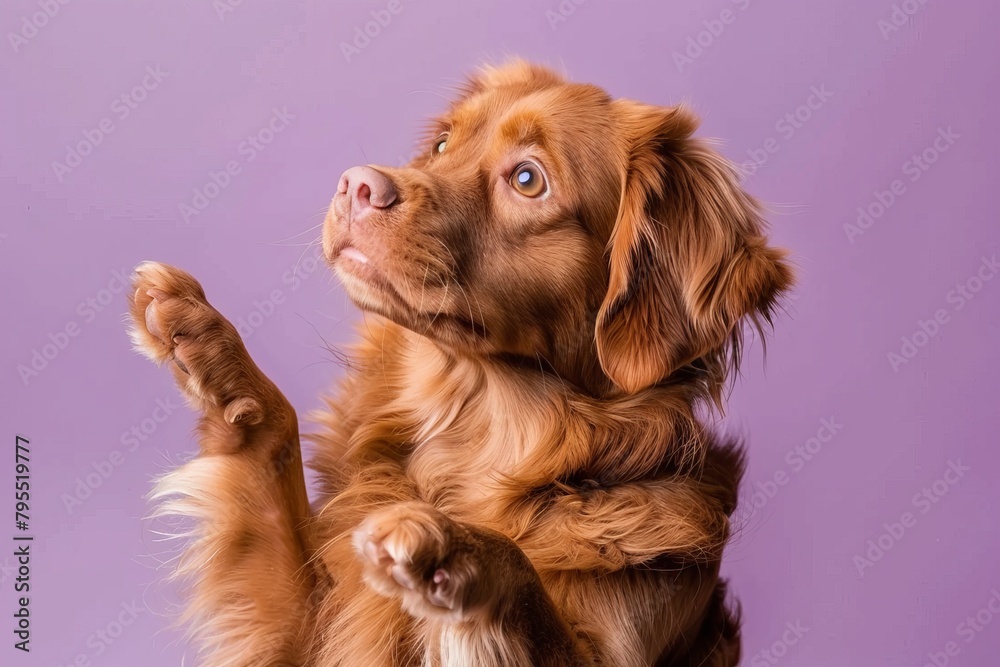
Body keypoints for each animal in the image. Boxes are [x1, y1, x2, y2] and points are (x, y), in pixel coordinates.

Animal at [129, 60, 792, 664]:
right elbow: (273, 449)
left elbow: (523, 579)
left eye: (527, 178)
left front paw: (454, 545)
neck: (478, 434)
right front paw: (213, 352)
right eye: (443, 143)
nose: (355, 184)